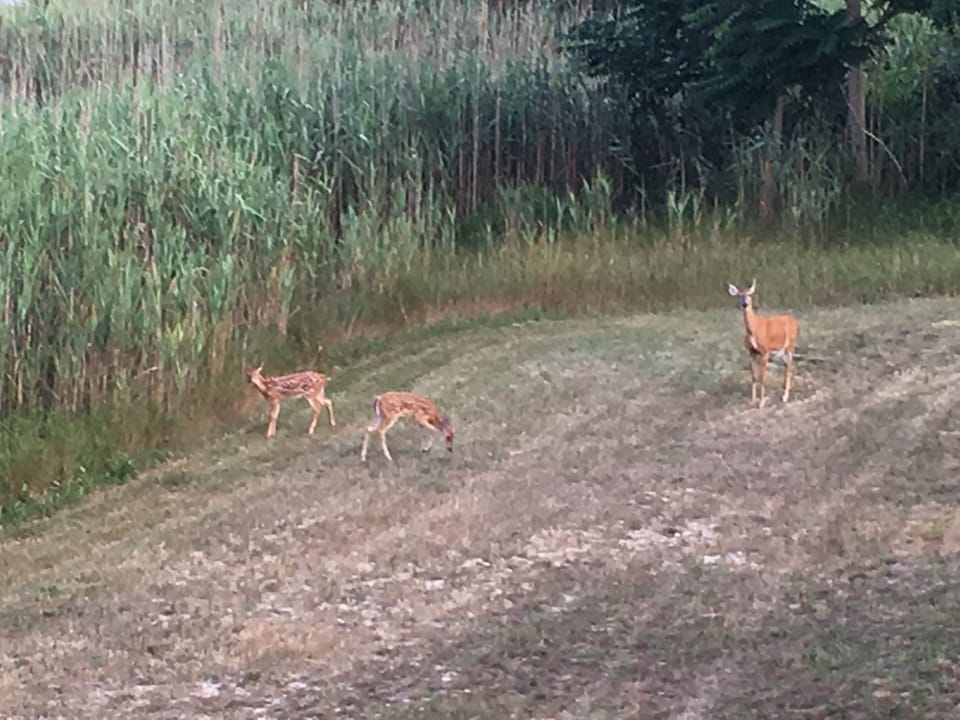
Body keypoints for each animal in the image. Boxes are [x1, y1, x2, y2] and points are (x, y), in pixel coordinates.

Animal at [727, 279, 800, 408]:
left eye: (749, 294)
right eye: (739, 295)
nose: (744, 304)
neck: (754, 330)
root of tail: (797, 323)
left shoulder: (765, 351)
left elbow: (762, 377)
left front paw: (761, 403)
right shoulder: (751, 352)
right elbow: (753, 376)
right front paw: (752, 400)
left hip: (791, 344)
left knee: (790, 365)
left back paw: (785, 397)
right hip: (780, 351)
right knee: (788, 364)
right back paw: (783, 389)